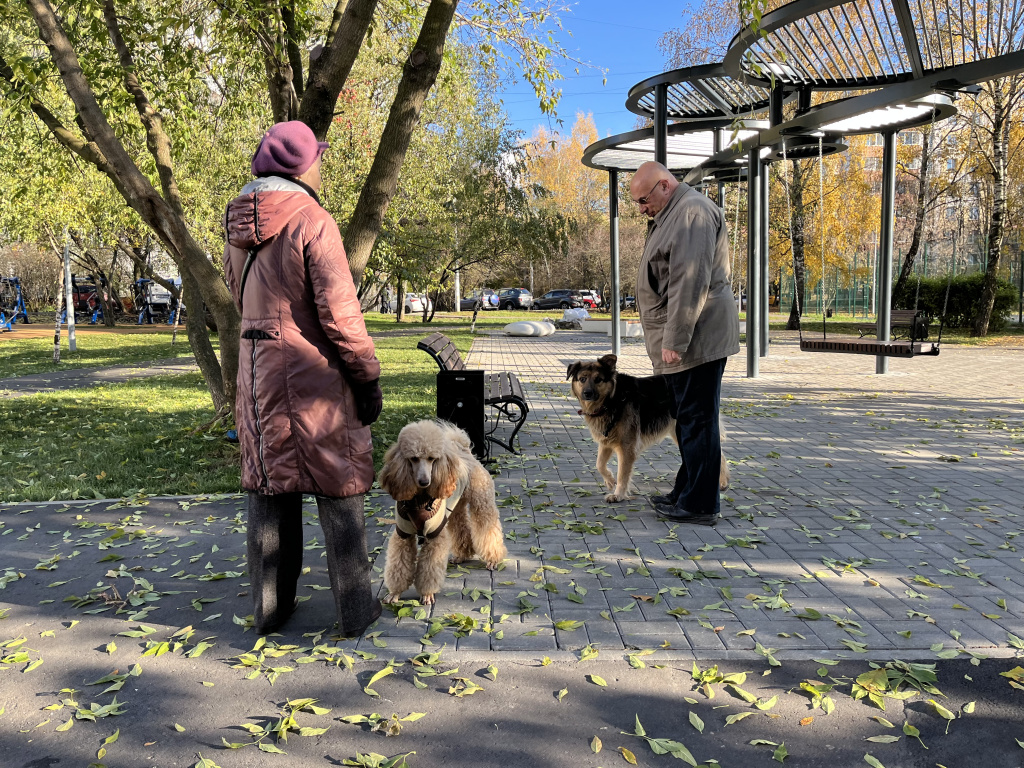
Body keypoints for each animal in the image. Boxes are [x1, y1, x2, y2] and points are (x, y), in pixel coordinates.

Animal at [569, 354, 729, 505]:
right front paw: (609, 480)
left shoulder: (626, 447)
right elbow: (599, 464)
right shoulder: (606, 440)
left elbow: (622, 474)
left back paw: (722, 482)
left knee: (718, 454)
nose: (587, 393)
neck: (612, 399)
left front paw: (618, 495)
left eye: (598, 380)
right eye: (582, 379)